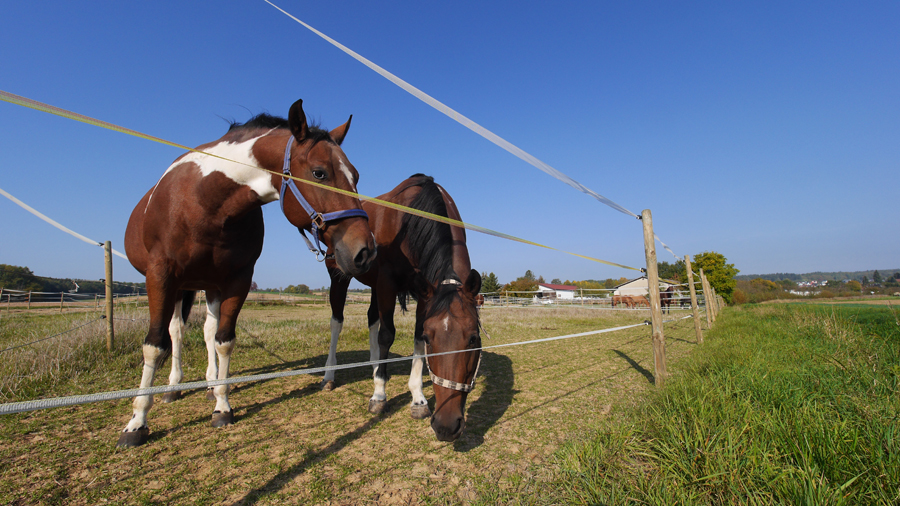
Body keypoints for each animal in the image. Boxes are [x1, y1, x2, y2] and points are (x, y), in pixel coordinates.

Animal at [117, 99, 376, 448]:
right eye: (319, 173)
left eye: (355, 176)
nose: (365, 252)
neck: (204, 200)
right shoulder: (161, 276)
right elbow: (155, 344)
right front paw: (137, 420)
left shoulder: (237, 279)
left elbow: (223, 340)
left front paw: (222, 406)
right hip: (182, 286)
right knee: (176, 331)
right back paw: (172, 387)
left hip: (209, 285)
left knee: (207, 330)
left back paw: (211, 383)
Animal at [324, 174, 481, 442]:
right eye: (431, 340)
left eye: (473, 339)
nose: (446, 426)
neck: (410, 220)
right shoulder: (387, 282)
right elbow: (387, 335)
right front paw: (379, 395)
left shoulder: (424, 293)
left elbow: (412, 337)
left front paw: (417, 398)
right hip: (340, 277)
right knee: (337, 322)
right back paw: (330, 374)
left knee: (372, 319)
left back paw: (377, 368)